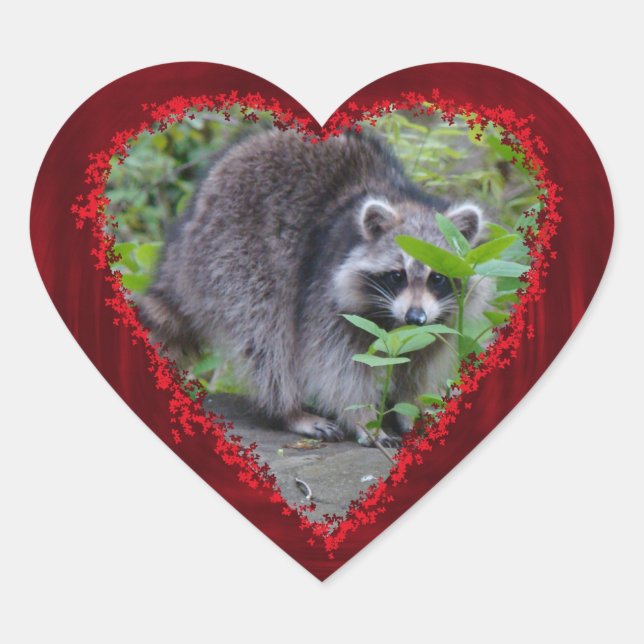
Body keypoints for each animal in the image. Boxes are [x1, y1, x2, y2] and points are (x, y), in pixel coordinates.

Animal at [140, 129, 489, 446]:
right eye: (397, 276)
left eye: (437, 278)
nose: (415, 318)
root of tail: (189, 227)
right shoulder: (324, 285)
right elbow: (336, 362)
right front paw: (364, 418)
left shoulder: (438, 316)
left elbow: (419, 356)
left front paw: (409, 406)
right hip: (234, 252)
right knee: (268, 332)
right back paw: (287, 410)